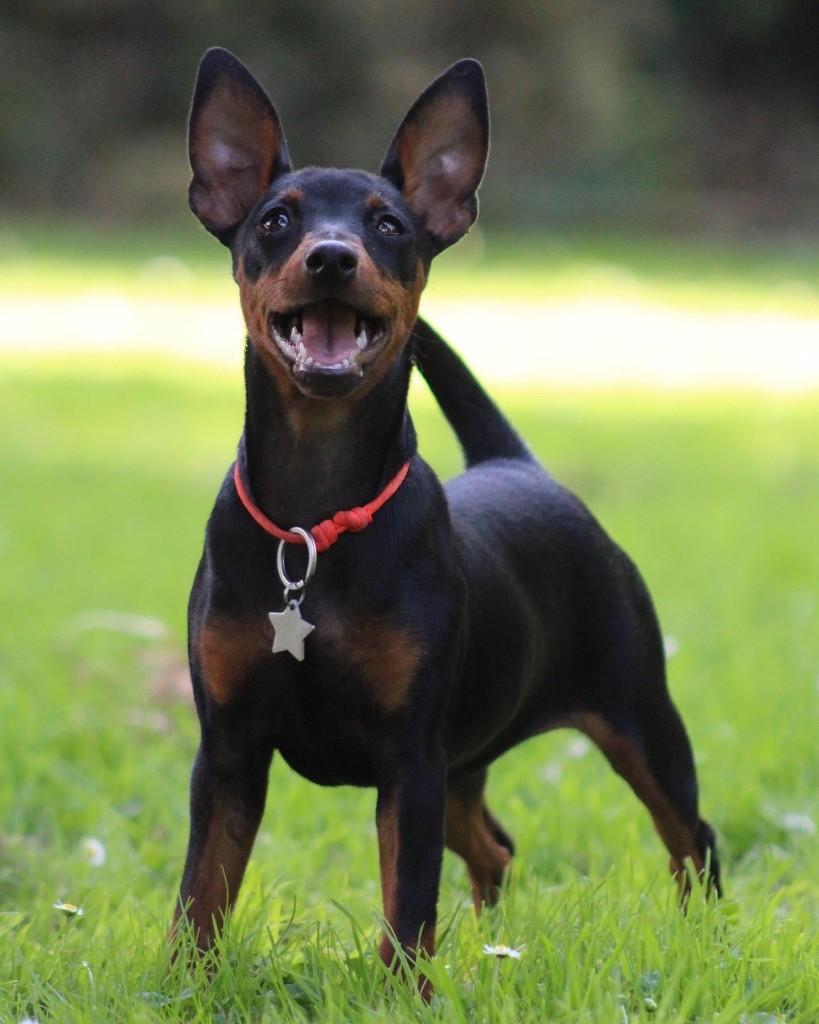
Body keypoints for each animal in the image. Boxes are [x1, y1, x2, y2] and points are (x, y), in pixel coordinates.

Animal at [173, 46, 716, 991]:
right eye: (275, 220)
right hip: (468, 757)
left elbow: (407, 901)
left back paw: (702, 947)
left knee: (692, 839)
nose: (330, 258)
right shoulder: (229, 752)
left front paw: (401, 996)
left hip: (636, 718)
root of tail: (516, 464)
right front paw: (179, 991)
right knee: (495, 848)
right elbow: (201, 895)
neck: (313, 524)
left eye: (390, 227)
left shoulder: (410, 758)